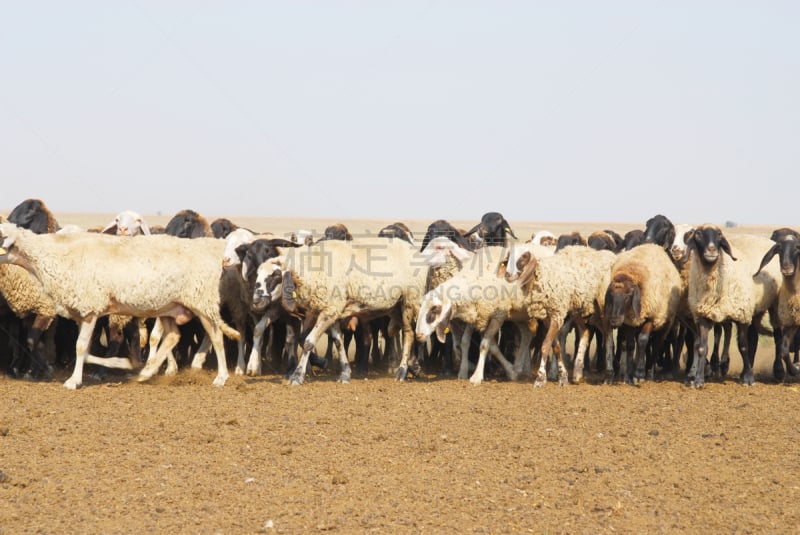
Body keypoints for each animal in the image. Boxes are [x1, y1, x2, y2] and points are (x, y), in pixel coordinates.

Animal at [0, 224, 238, 392]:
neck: (50, 257)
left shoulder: (90, 308)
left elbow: (81, 347)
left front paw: (73, 381)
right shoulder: (82, 312)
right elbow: (86, 350)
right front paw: (125, 363)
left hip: (201, 302)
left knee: (216, 337)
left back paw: (221, 377)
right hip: (169, 307)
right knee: (173, 336)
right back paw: (146, 372)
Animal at [604, 243, 684, 386]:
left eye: (628, 295)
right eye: (611, 295)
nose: (614, 321)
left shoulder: (651, 318)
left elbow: (643, 340)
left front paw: (639, 374)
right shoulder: (629, 322)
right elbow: (630, 345)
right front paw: (628, 376)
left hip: (665, 323)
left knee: (657, 344)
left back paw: (650, 373)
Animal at [684, 224, 784, 388]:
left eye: (719, 234)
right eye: (698, 234)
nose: (712, 250)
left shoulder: (742, 314)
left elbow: (743, 346)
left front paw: (749, 379)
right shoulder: (702, 315)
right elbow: (702, 348)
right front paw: (698, 380)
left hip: (773, 305)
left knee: (777, 335)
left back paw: (777, 371)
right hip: (754, 310)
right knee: (751, 337)